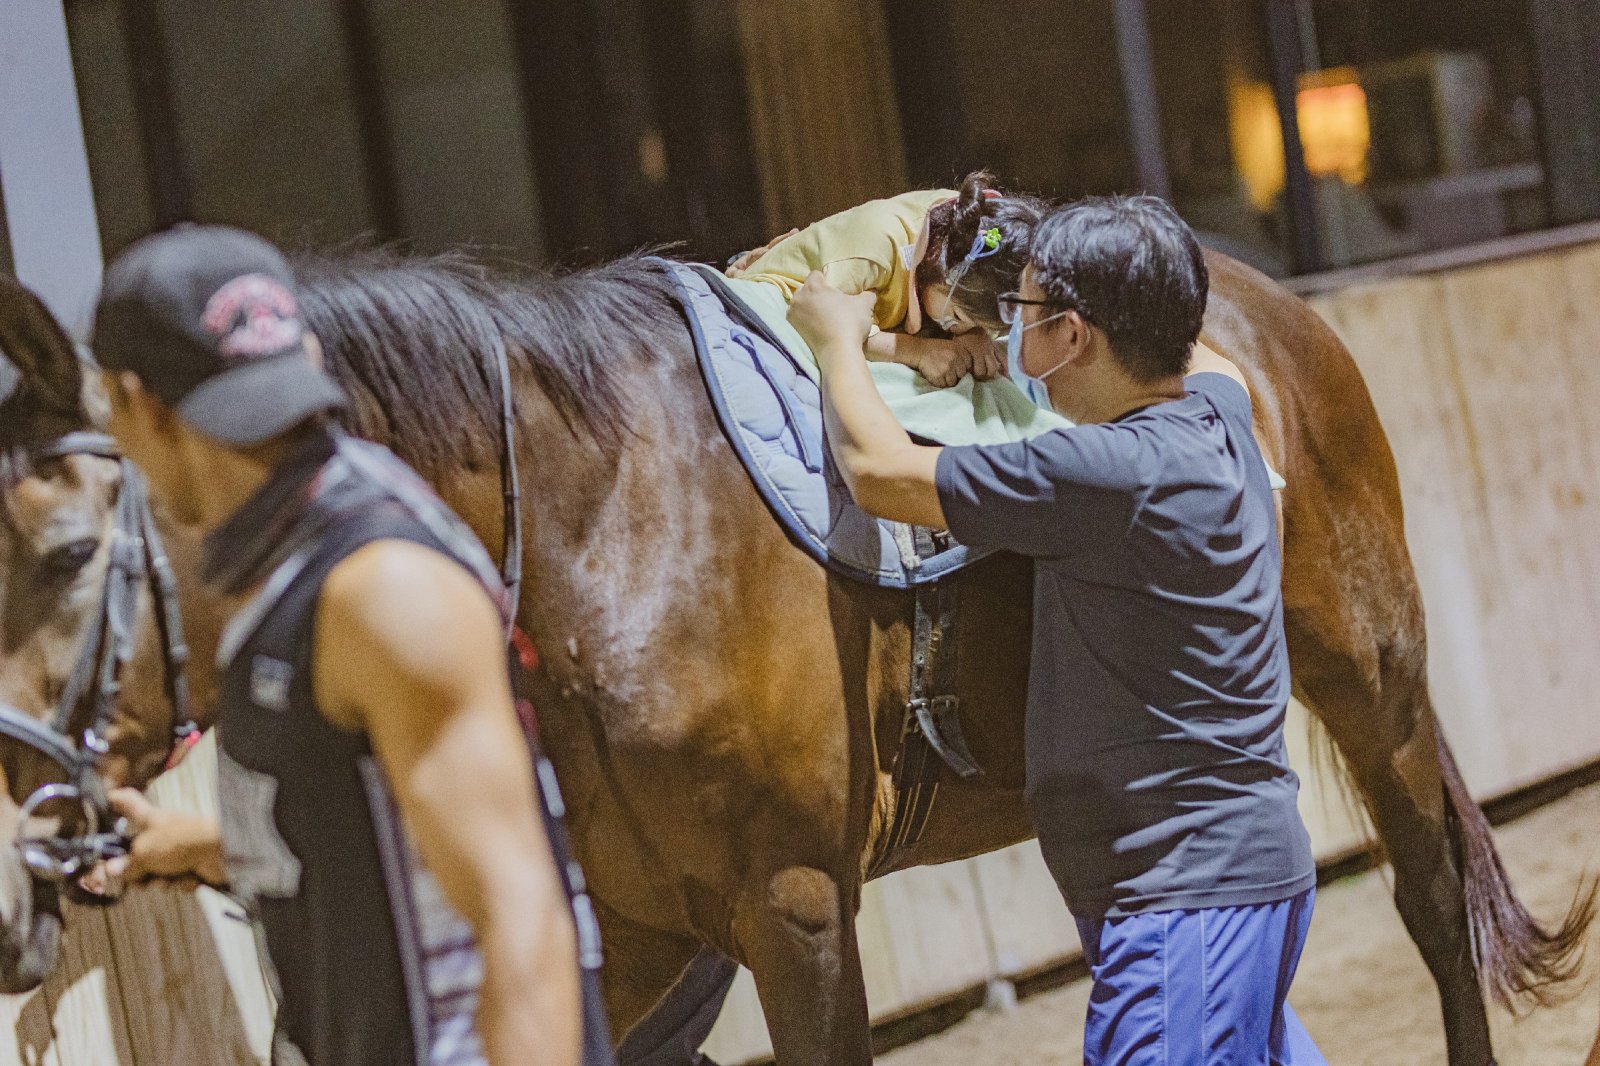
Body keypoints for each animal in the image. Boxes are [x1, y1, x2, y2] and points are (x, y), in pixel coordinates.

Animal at [0, 250, 1590, 1066]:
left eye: (69, 554)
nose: (17, 863)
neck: (590, 528)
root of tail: (1267, 304)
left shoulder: (796, 907)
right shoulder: (624, 921)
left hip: (1373, 682)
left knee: (1432, 904)